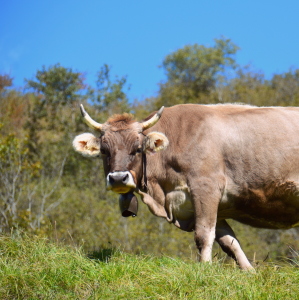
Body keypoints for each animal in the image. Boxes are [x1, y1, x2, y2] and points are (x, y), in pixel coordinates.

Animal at [73, 103, 299, 270]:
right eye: (104, 151)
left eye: (137, 149)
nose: (118, 178)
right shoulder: (215, 206)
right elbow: (230, 242)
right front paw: (249, 273)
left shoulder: (206, 188)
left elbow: (204, 235)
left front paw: (204, 269)